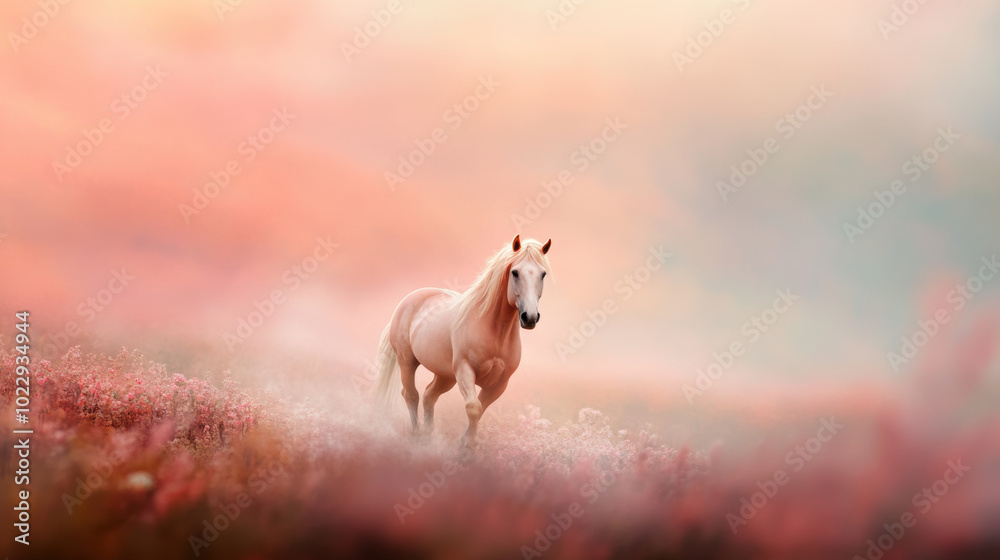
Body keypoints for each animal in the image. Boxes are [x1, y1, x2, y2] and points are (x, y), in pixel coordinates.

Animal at [373, 235, 552, 449]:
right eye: (515, 272)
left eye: (543, 274)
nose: (530, 317)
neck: (495, 332)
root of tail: (408, 300)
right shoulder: (465, 371)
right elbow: (474, 407)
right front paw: (468, 447)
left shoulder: (500, 383)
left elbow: (481, 408)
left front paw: (465, 444)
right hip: (407, 361)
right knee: (411, 395)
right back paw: (416, 435)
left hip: (445, 376)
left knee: (428, 396)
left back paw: (426, 436)